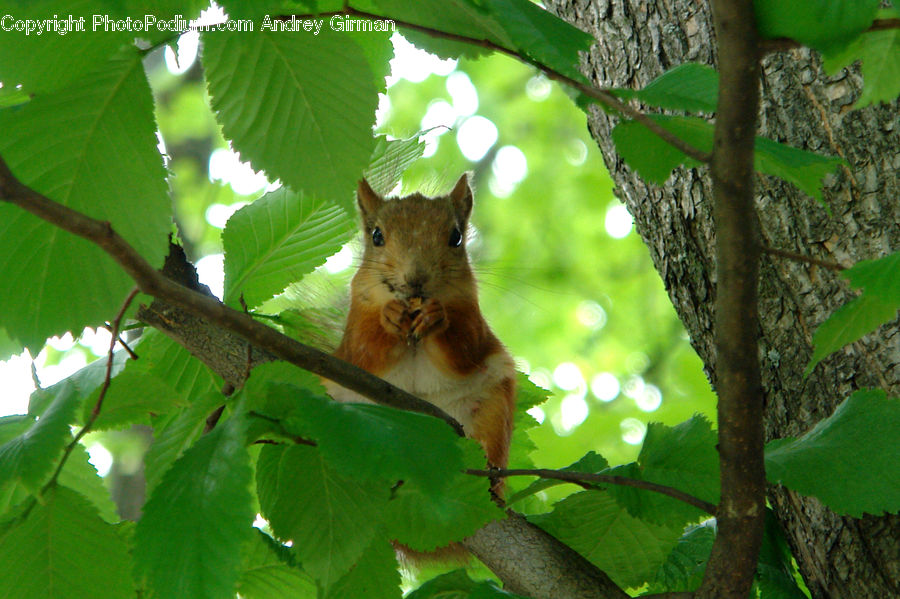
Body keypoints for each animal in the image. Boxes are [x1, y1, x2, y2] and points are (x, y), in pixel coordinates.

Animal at [326, 176, 516, 486]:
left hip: (493, 411)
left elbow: (464, 349)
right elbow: (365, 349)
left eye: (456, 237)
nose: (416, 279)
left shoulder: (472, 317)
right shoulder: (355, 327)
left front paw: (436, 317)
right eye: (376, 236)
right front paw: (389, 315)